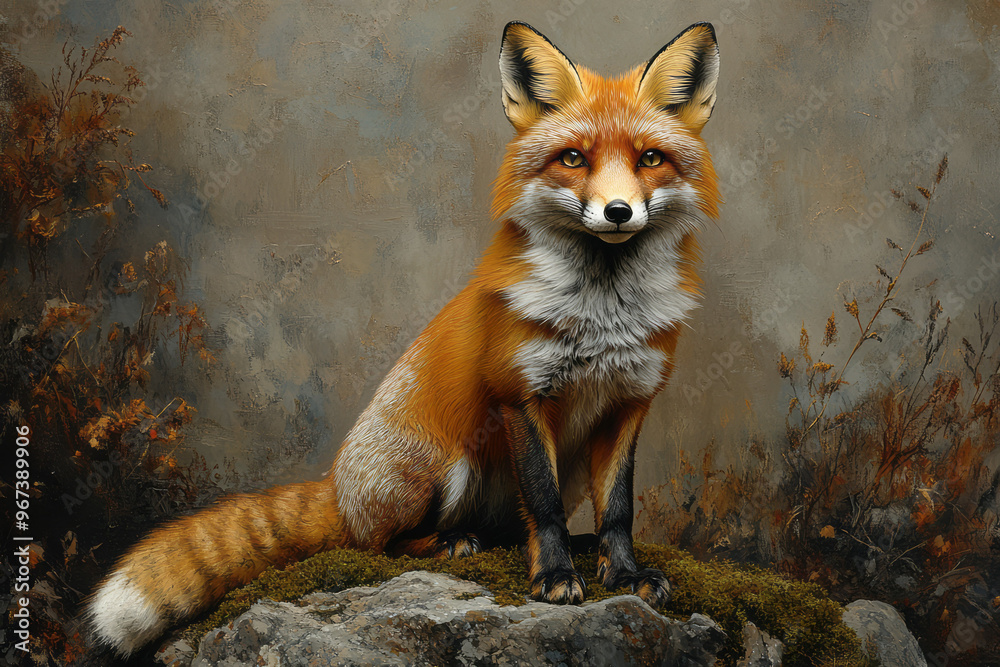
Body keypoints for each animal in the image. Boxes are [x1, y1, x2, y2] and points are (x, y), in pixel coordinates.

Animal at [86, 20, 721, 657]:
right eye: (573, 158)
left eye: (650, 159)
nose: (617, 212)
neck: (601, 314)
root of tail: (338, 488)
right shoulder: (520, 396)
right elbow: (541, 505)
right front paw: (555, 577)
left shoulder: (627, 405)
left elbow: (619, 510)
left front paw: (624, 574)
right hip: (444, 467)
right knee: (379, 545)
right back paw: (450, 543)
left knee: (510, 529)